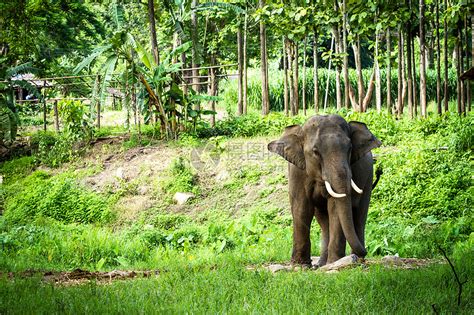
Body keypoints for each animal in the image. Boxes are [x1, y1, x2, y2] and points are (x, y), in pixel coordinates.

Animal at [266, 113, 382, 266]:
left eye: (350, 148)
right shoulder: (297, 171)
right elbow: (301, 208)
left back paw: (355, 260)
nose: (367, 251)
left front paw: (334, 263)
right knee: (323, 220)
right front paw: (300, 265)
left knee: (359, 215)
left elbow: (335, 208)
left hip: (369, 177)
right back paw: (322, 263)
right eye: (315, 152)